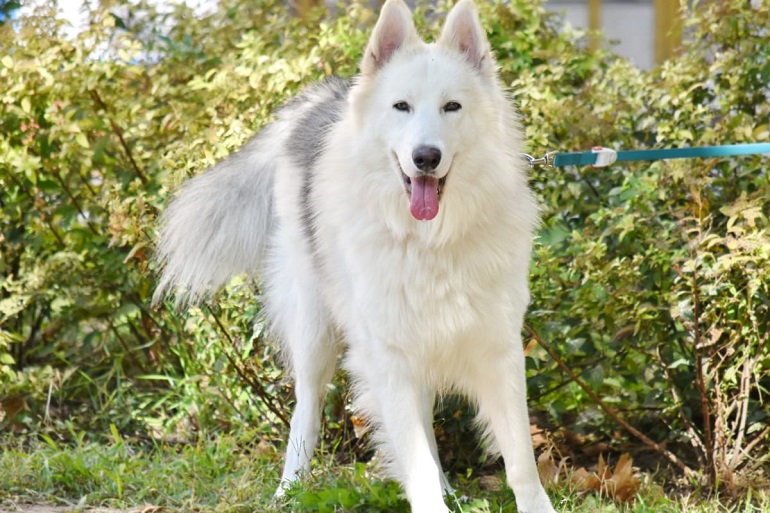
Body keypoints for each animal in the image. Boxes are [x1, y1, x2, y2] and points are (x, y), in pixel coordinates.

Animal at [154, 2, 552, 510]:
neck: (428, 240)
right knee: (307, 409)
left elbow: (520, 460)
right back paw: (290, 488)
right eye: (402, 107)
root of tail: (320, 100)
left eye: (452, 107)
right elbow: (415, 463)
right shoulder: (387, 355)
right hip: (314, 328)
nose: (426, 157)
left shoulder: (497, 350)